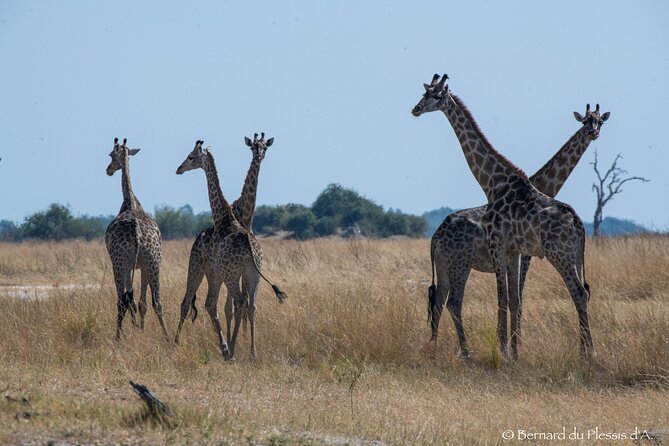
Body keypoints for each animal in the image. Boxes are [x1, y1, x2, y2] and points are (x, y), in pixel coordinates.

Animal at [172, 139, 284, 358]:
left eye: (191, 156)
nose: (179, 169)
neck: (223, 215)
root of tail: (250, 250)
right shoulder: (219, 272)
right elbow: (224, 306)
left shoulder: (213, 269)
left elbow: (219, 306)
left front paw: (228, 346)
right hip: (252, 275)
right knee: (250, 305)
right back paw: (250, 352)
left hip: (212, 271)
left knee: (206, 302)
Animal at [412, 76, 596, 358]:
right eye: (425, 93)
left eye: (436, 95)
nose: (416, 109)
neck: (493, 182)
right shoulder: (512, 251)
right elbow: (512, 299)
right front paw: (511, 351)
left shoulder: (503, 246)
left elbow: (506, 298)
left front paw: (506, 351)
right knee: (443, 302)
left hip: (558, 254)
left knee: (578, 292)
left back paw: (587, 352)